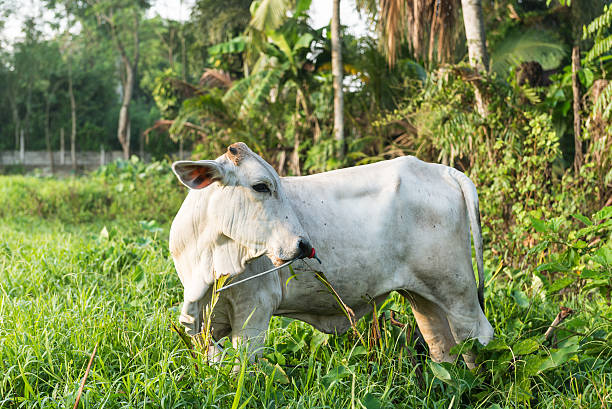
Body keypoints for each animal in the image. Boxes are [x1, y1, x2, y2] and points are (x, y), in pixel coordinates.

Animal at [170, 143, 494, 364]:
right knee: (442, 345)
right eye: (260, 186)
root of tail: (443, 170)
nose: (304, 245)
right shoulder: (199, 325)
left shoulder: (255, 308)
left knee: (475, 337)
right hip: (424, 294)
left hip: (456, 289)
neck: (206, 260)